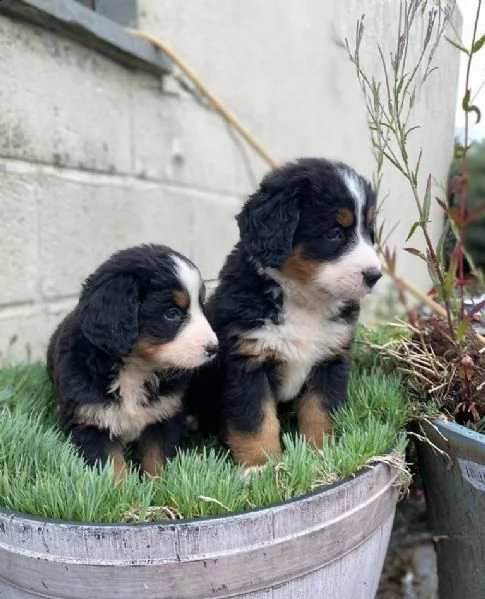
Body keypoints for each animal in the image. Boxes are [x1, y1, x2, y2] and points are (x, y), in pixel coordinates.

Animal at [47, 241, 217, 480]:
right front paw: (121, 489)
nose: (214, 348)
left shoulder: (164, 416)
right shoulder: (90, 421)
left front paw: (157, 485)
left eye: (201, 306)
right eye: (172, 313)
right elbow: (112, 466)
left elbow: (157, 459)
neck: (135, 370)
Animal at [189, 158, 382, 468]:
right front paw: (261, 467)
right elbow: (255, 421)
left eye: (369, 232)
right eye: (334, 233)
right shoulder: (248, 361)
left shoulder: (330, 359)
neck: (304, 299)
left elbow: (320, 412)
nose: (374, 275)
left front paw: (319, 455)